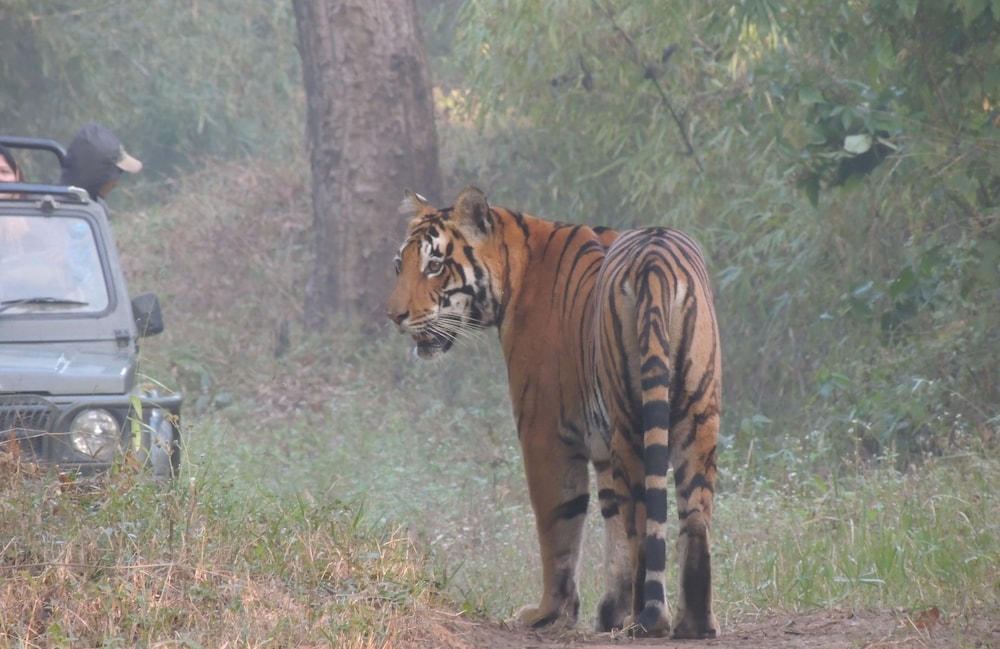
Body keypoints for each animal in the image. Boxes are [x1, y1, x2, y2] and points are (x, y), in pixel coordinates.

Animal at [386, 186, 721, 639]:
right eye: (399, 265)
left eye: (435, 266)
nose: (395, 316)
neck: (513, 268)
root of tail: (657, 258)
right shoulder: (601, 445)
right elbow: (612, 526)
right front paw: (609, 613)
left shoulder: (544, 432)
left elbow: (558, 527)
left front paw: (550, 613)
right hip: (699, 415)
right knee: (695, 518)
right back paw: (694, 624)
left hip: (632, 417)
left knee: (643, 520)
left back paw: (648, 620)